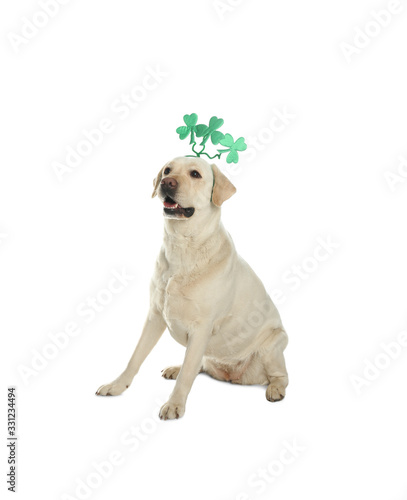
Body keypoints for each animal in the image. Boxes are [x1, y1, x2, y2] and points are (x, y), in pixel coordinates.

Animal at [96, 156, 288, 418]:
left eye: (195, 174)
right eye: (167, 170)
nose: (167, 182)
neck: (182, 247)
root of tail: (234, 377)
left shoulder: (201, 328)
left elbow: (187, 374)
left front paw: (174, 405)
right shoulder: (154, 316)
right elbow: (135, 357)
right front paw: (117, 385)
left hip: (275, 344)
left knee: (281, 375)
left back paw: (275, 389)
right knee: (199, 365)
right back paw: (175, 368)